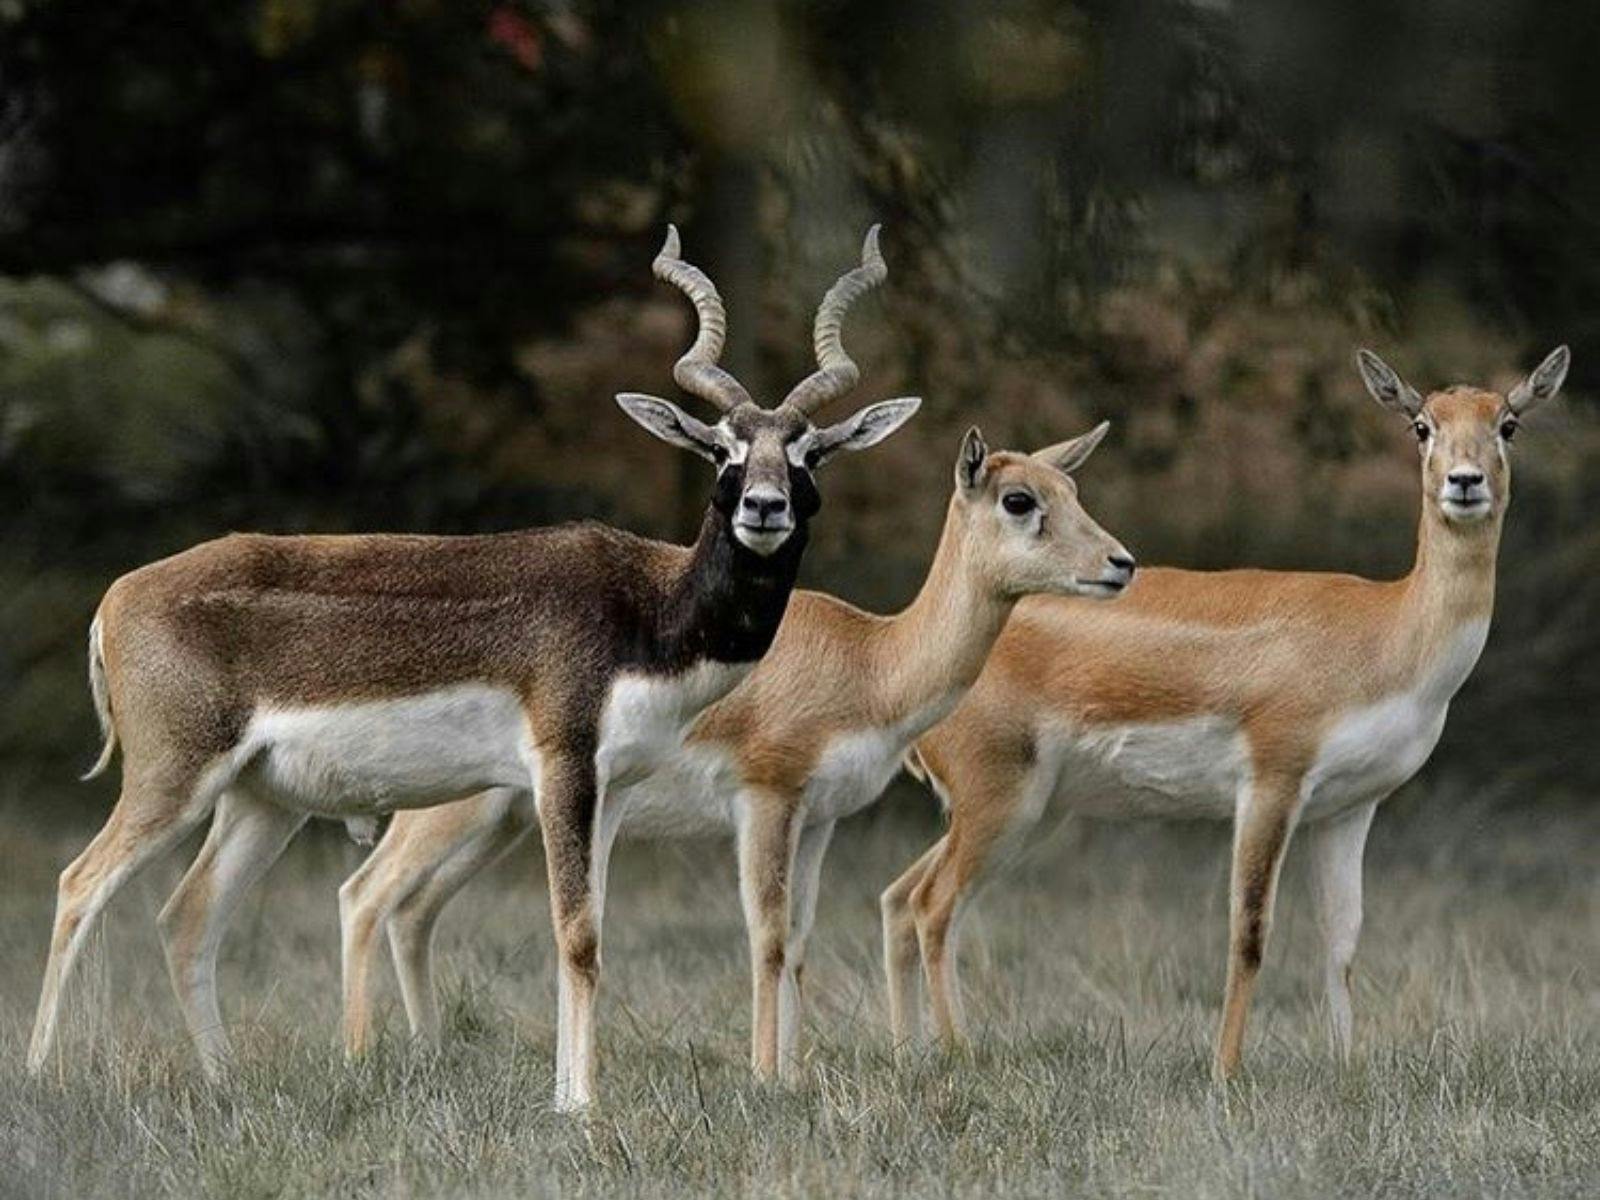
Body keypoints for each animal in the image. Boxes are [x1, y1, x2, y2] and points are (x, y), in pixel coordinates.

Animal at [28, 225, 923, 1112]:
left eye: (811, 451)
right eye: (720, 448)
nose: (764, 508)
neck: (646, 605)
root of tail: (117, 597)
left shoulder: (615, 788)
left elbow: (590, 931)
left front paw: (568, 1095)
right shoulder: (563, 765)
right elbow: (576, 932)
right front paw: (580, 1108)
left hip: (260, 800)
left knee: (186, 917)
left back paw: (225, 1082)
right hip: (175, 778)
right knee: (77, 884)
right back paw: (41, 1077)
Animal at [337, 423, 1134, 1082]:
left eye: (1072, 489)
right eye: (1019, 499)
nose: (1120, 563)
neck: (871, 662)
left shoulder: (821, 819)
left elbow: (801, 940)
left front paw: (794, 1073)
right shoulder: (765, 798)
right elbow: (767, 935)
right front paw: (765, 1079)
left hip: (502, 821)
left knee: (413, 911)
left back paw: (430, 1053)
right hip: (454, 811)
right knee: (366, 894)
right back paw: (363, 1059)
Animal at [880, 346, 1571, 1081]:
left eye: (1507, 423)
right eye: (1421, 425)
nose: (1465, 483)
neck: (1385, 633)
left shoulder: (1349, 808)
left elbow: (1342, 940)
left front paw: (1347, 1070)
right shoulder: (1271, 783)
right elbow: (1250, 931)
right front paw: (1225, 1071)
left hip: (1030, 813)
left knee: (899, 897)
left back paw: (911, 1055)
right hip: (999, 802)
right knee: (933, 906)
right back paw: (960, 1055)